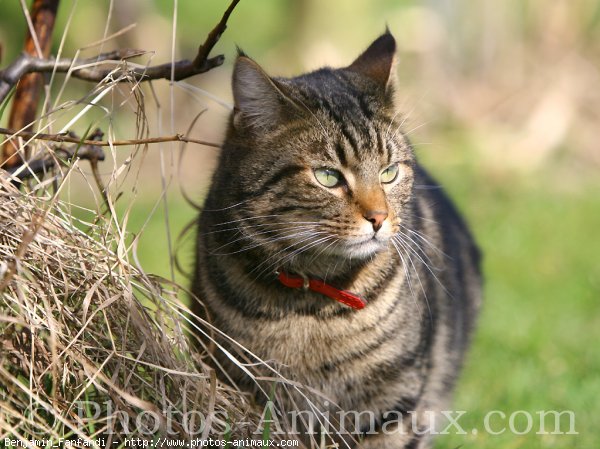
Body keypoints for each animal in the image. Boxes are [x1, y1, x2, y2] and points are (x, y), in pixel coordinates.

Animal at [192, 32, 482, 448]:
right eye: (328, 176)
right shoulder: (238, 381)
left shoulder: (391, 401)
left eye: (389, 172)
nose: (379, 218)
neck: (309, 307)